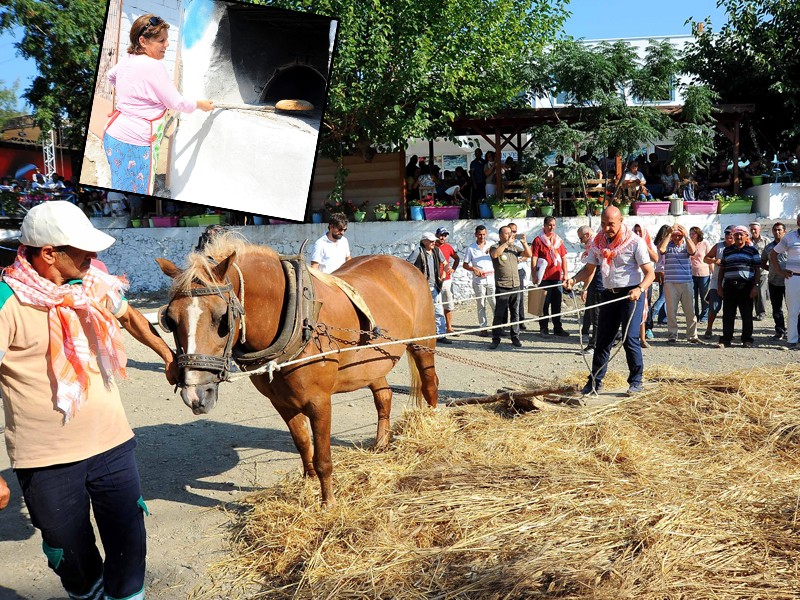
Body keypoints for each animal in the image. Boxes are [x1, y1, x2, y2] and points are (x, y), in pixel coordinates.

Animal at [155, 234, 438, 506]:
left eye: (222, 318)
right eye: (171, 319)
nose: (195, 395)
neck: (299, 319)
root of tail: (406, 266)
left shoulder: (320, 401)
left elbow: (323, 455)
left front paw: (328, 503)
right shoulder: (282, 402)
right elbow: (303, 443)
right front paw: (308, 482)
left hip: (423, 345)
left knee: (430, 384)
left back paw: (433, 427)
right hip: (372, 364)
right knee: (384, 396)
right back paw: (380, 444)